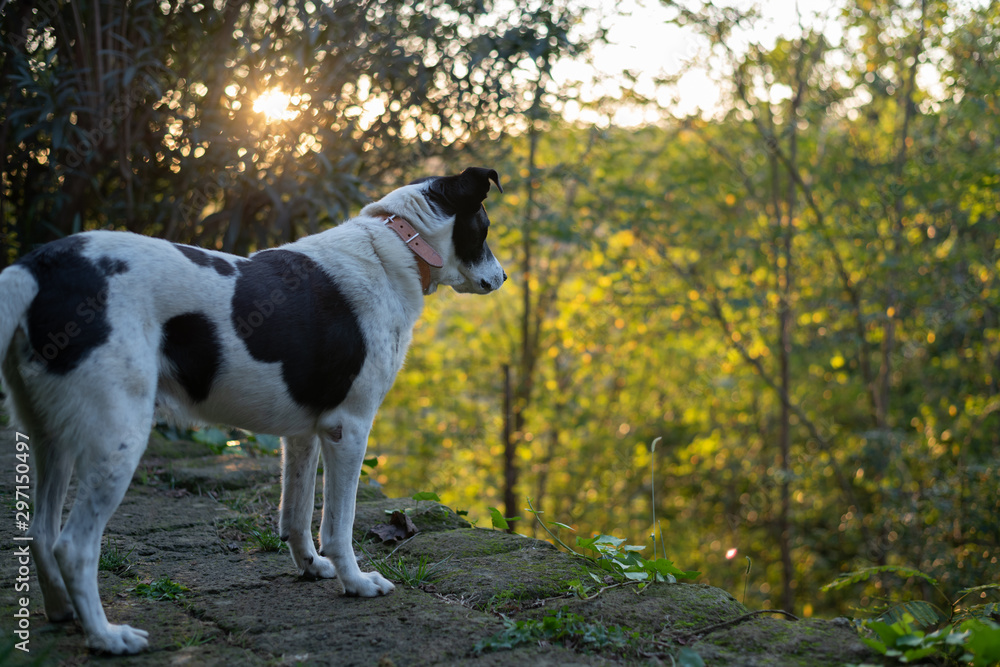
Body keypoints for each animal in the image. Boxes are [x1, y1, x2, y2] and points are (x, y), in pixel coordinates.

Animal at [0, 166, 504, 652]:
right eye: (483, 227)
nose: (502, 278)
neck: (395, 243)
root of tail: (37, 268)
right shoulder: (348, 429)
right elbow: (337, 526)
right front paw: (356, 583)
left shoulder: (302, 434)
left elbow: (295, 514)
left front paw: (310, 567)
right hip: (116, 438)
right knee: (73, 546)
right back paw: (107, 637)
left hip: (53, 440)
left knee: (41, 532)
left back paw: (63, 612)